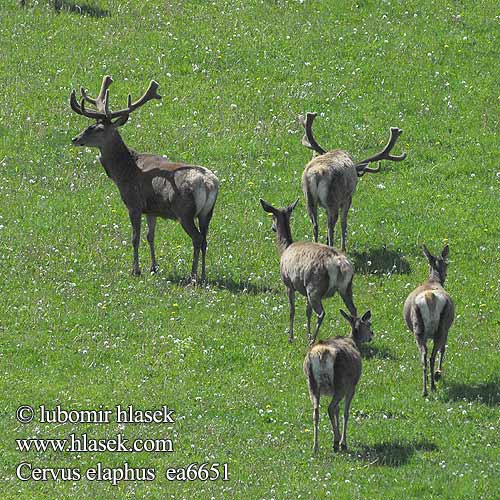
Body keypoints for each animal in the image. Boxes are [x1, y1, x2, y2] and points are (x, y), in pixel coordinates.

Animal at [69, 76, 218, 284]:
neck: (124, 171)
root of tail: (208, 183)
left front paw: (135, 270)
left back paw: (193, 277)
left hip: (184, 212)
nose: (75, 139)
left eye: (97, 129)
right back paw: (203, 275)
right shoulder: (152, 210)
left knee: (196, 239)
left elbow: (135, 237)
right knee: (204, 240)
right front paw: (154, 267)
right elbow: (150, 236)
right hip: (207, 213)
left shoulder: (134, 203)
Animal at [260, 199, 358, 344]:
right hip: (346, 287)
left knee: (321, 313)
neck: (284, 249)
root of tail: (340, 263)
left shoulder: (288, 283)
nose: (273, 227)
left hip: (315, 287)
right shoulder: (304, 287)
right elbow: (307, 311)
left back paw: (313, 340)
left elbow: (292, 310)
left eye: (273, 217)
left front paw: (291, 337)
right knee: (353, 309)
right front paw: (307, 334)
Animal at [296, 112, 406, 250]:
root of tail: (317, 174)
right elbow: (344, 222)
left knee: (315, 225)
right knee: (331, 226)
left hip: (309, 199)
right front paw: (344, 247)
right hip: (333, 199)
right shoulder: (347, 198)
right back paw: (335, 248)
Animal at [302, 308, 374, 454]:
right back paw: (336, 443)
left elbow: (338, 410)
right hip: (340, 382)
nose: (372, 335)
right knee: (330, 408)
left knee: (316, 411)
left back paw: (315, 446)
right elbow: (345, 412)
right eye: (369, 324)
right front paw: (342, 441)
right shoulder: (351, 387)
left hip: (312, 383)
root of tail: (321, 353)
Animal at [402, 244, 454, 396]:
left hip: (418, 329)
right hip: (441, 327)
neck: (432, 281)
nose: (445, 275)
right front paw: (438, 373)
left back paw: (425, 389)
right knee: (432, 355)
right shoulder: (448, 329)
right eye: (446, 263)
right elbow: (443, 349)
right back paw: (433, 384)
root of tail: (430, 297)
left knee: (424, 356)